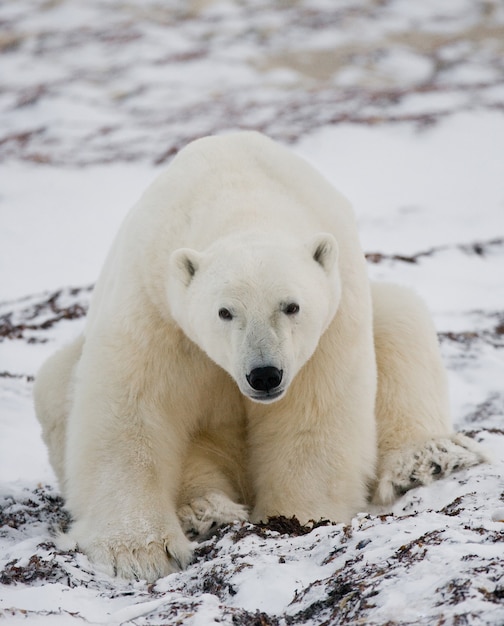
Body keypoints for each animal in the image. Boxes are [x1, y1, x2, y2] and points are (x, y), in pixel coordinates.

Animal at [33, 130, 486, 580]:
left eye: (291, 306)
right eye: (224, 311)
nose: (264, 375)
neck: (241, 196)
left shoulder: (333, 320)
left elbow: (311, 417)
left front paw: (296, 518)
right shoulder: (154, 305)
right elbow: (130, 412)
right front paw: (139, 551)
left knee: (401, 320)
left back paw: (427, 459)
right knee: (58, 385)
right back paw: (206, 510)